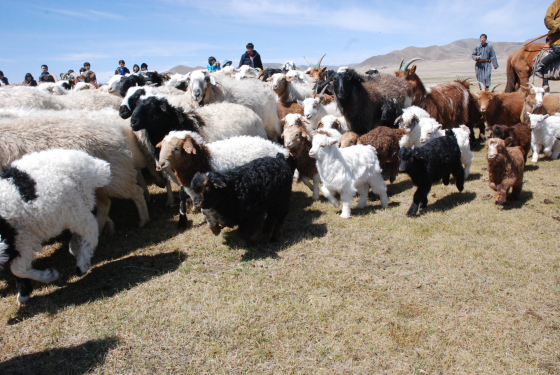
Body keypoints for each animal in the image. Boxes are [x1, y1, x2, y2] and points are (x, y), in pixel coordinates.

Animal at [0, 148, 111, 304]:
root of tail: (88, 164)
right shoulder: (16, 243)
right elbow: (17, 269)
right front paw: (24, 292)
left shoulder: (21, 240)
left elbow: (18, 269)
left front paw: (49, 275)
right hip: (78, 205)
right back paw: (75, 247)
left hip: (72, 209)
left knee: (90, 228)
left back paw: (82, 263)